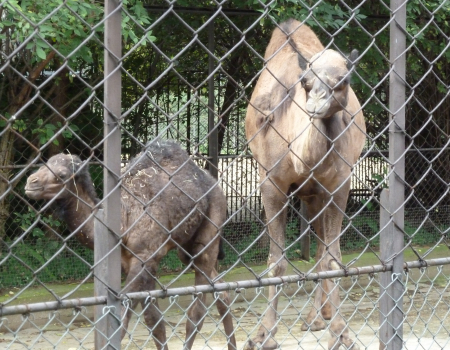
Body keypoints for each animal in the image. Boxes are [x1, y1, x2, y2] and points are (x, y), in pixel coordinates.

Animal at [24, 139, 236, 350]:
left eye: (61, 175)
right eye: (44, 163)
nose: (30, 182)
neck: (123, 220)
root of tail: (214, 183)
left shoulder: (144, 256)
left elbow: (123, 320)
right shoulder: (135, 261)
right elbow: (154, 321)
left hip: (212, 222)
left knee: (197, 310)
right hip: (186, 249)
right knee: (220, 291)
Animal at [244, 19, 368, 350]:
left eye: (343, 80)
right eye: (306, 82)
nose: (315, 105)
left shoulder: (339, 184)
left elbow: (333, 259)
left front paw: (341, 332)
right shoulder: (271, 182)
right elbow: (276, 261)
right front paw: (263, 334)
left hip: (317, 193)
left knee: (323, 248)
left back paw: (318, 317)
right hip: (306, 194)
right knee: (318, 243)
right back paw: (316, 316)